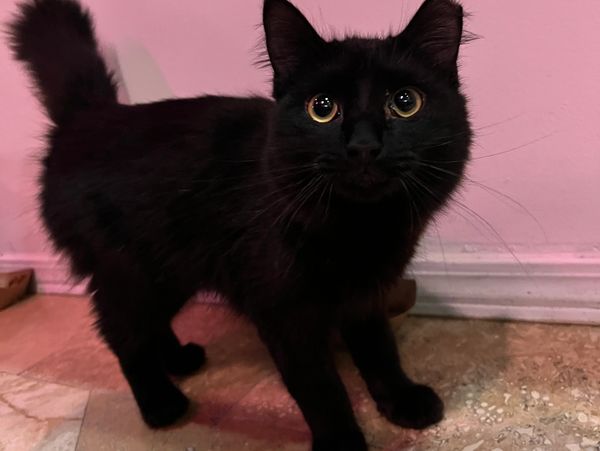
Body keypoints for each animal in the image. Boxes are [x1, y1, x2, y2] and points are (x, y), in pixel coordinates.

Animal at [9, 0, 471, 449]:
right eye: (322, 109)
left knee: (148, 324)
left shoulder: (365, 295)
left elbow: (380, 351)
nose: (362, 146)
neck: (361, 228)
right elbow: (320, 387)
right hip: (131, 270)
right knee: (121, 333)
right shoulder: (283, 313)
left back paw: (178, 360)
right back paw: (160, 402)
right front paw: (341, 441)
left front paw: (402, 400)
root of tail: (88, 116)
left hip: (171, 271)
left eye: (406, 103)